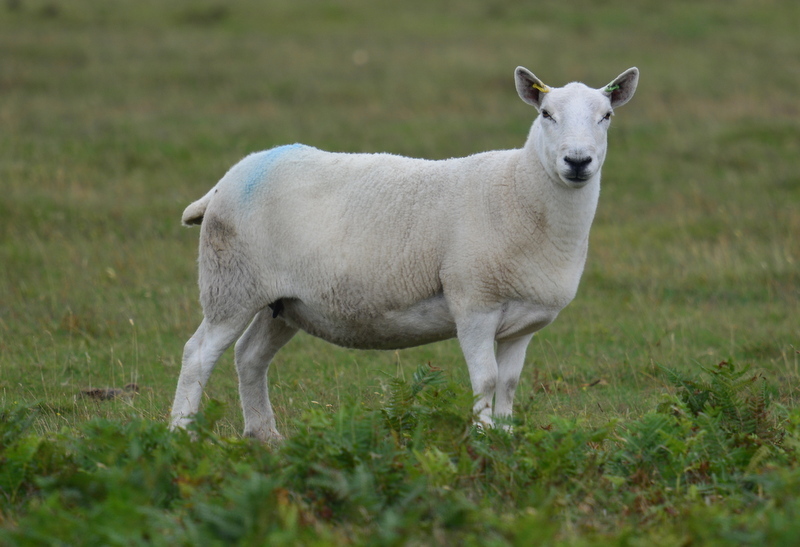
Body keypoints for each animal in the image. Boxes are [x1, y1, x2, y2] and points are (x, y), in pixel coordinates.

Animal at [169, 65, 636, 440]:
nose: (578, 161)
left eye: (607, 116)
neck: (519, 190)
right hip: (231, 282)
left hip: (282, 302)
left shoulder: (522, 322)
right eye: (545, 114)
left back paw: (264, 437)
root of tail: (227, 179)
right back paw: (180, 434)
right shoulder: (474, 302)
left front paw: (504, 441)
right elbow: (485, 381)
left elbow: (508, 384)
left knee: (249, 357)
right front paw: (483, 442)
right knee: (197, 355)